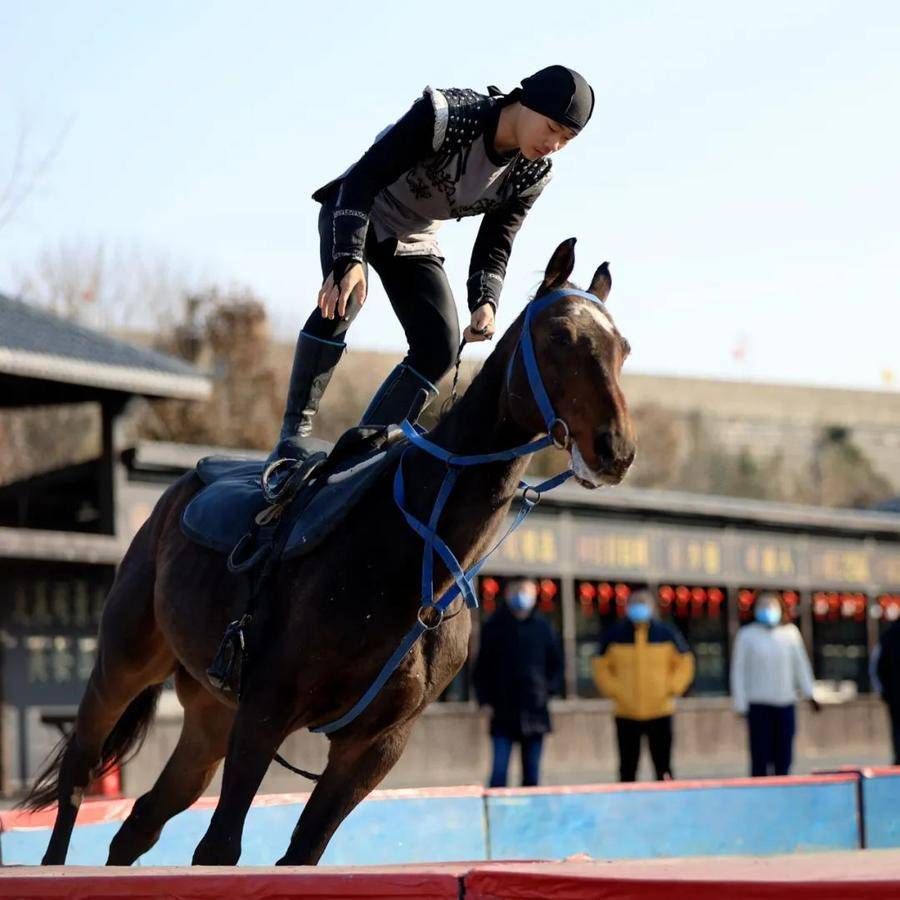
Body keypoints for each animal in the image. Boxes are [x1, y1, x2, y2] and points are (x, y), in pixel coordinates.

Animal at [24, 237, 636, 864]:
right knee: (79, 774)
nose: (614, 448)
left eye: (623, 349)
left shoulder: (375, 744)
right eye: (559, 337)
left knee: (141, 821)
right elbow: (219, 847)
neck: (419, 554)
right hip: (122, 663)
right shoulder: (266, 710)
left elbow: (304, 850)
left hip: (210, 717)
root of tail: (178, 493)